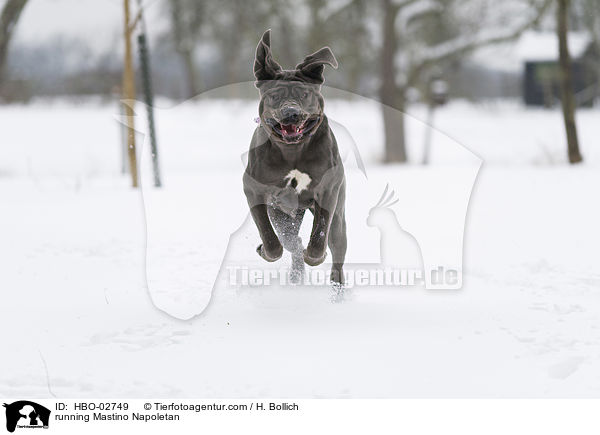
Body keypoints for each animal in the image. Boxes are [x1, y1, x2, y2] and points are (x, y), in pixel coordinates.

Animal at [244, 29, 346, 284]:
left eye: (305, 94)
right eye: (274, 95)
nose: (292, 113)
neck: (293, 151)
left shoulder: (328, 190)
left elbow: (319, 236)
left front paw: (315, 256)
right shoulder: (254, 191)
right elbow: (271, 239)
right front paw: (266, 250)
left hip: (339, 219)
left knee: (336, 247)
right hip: (282, 211)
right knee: (290, 240)